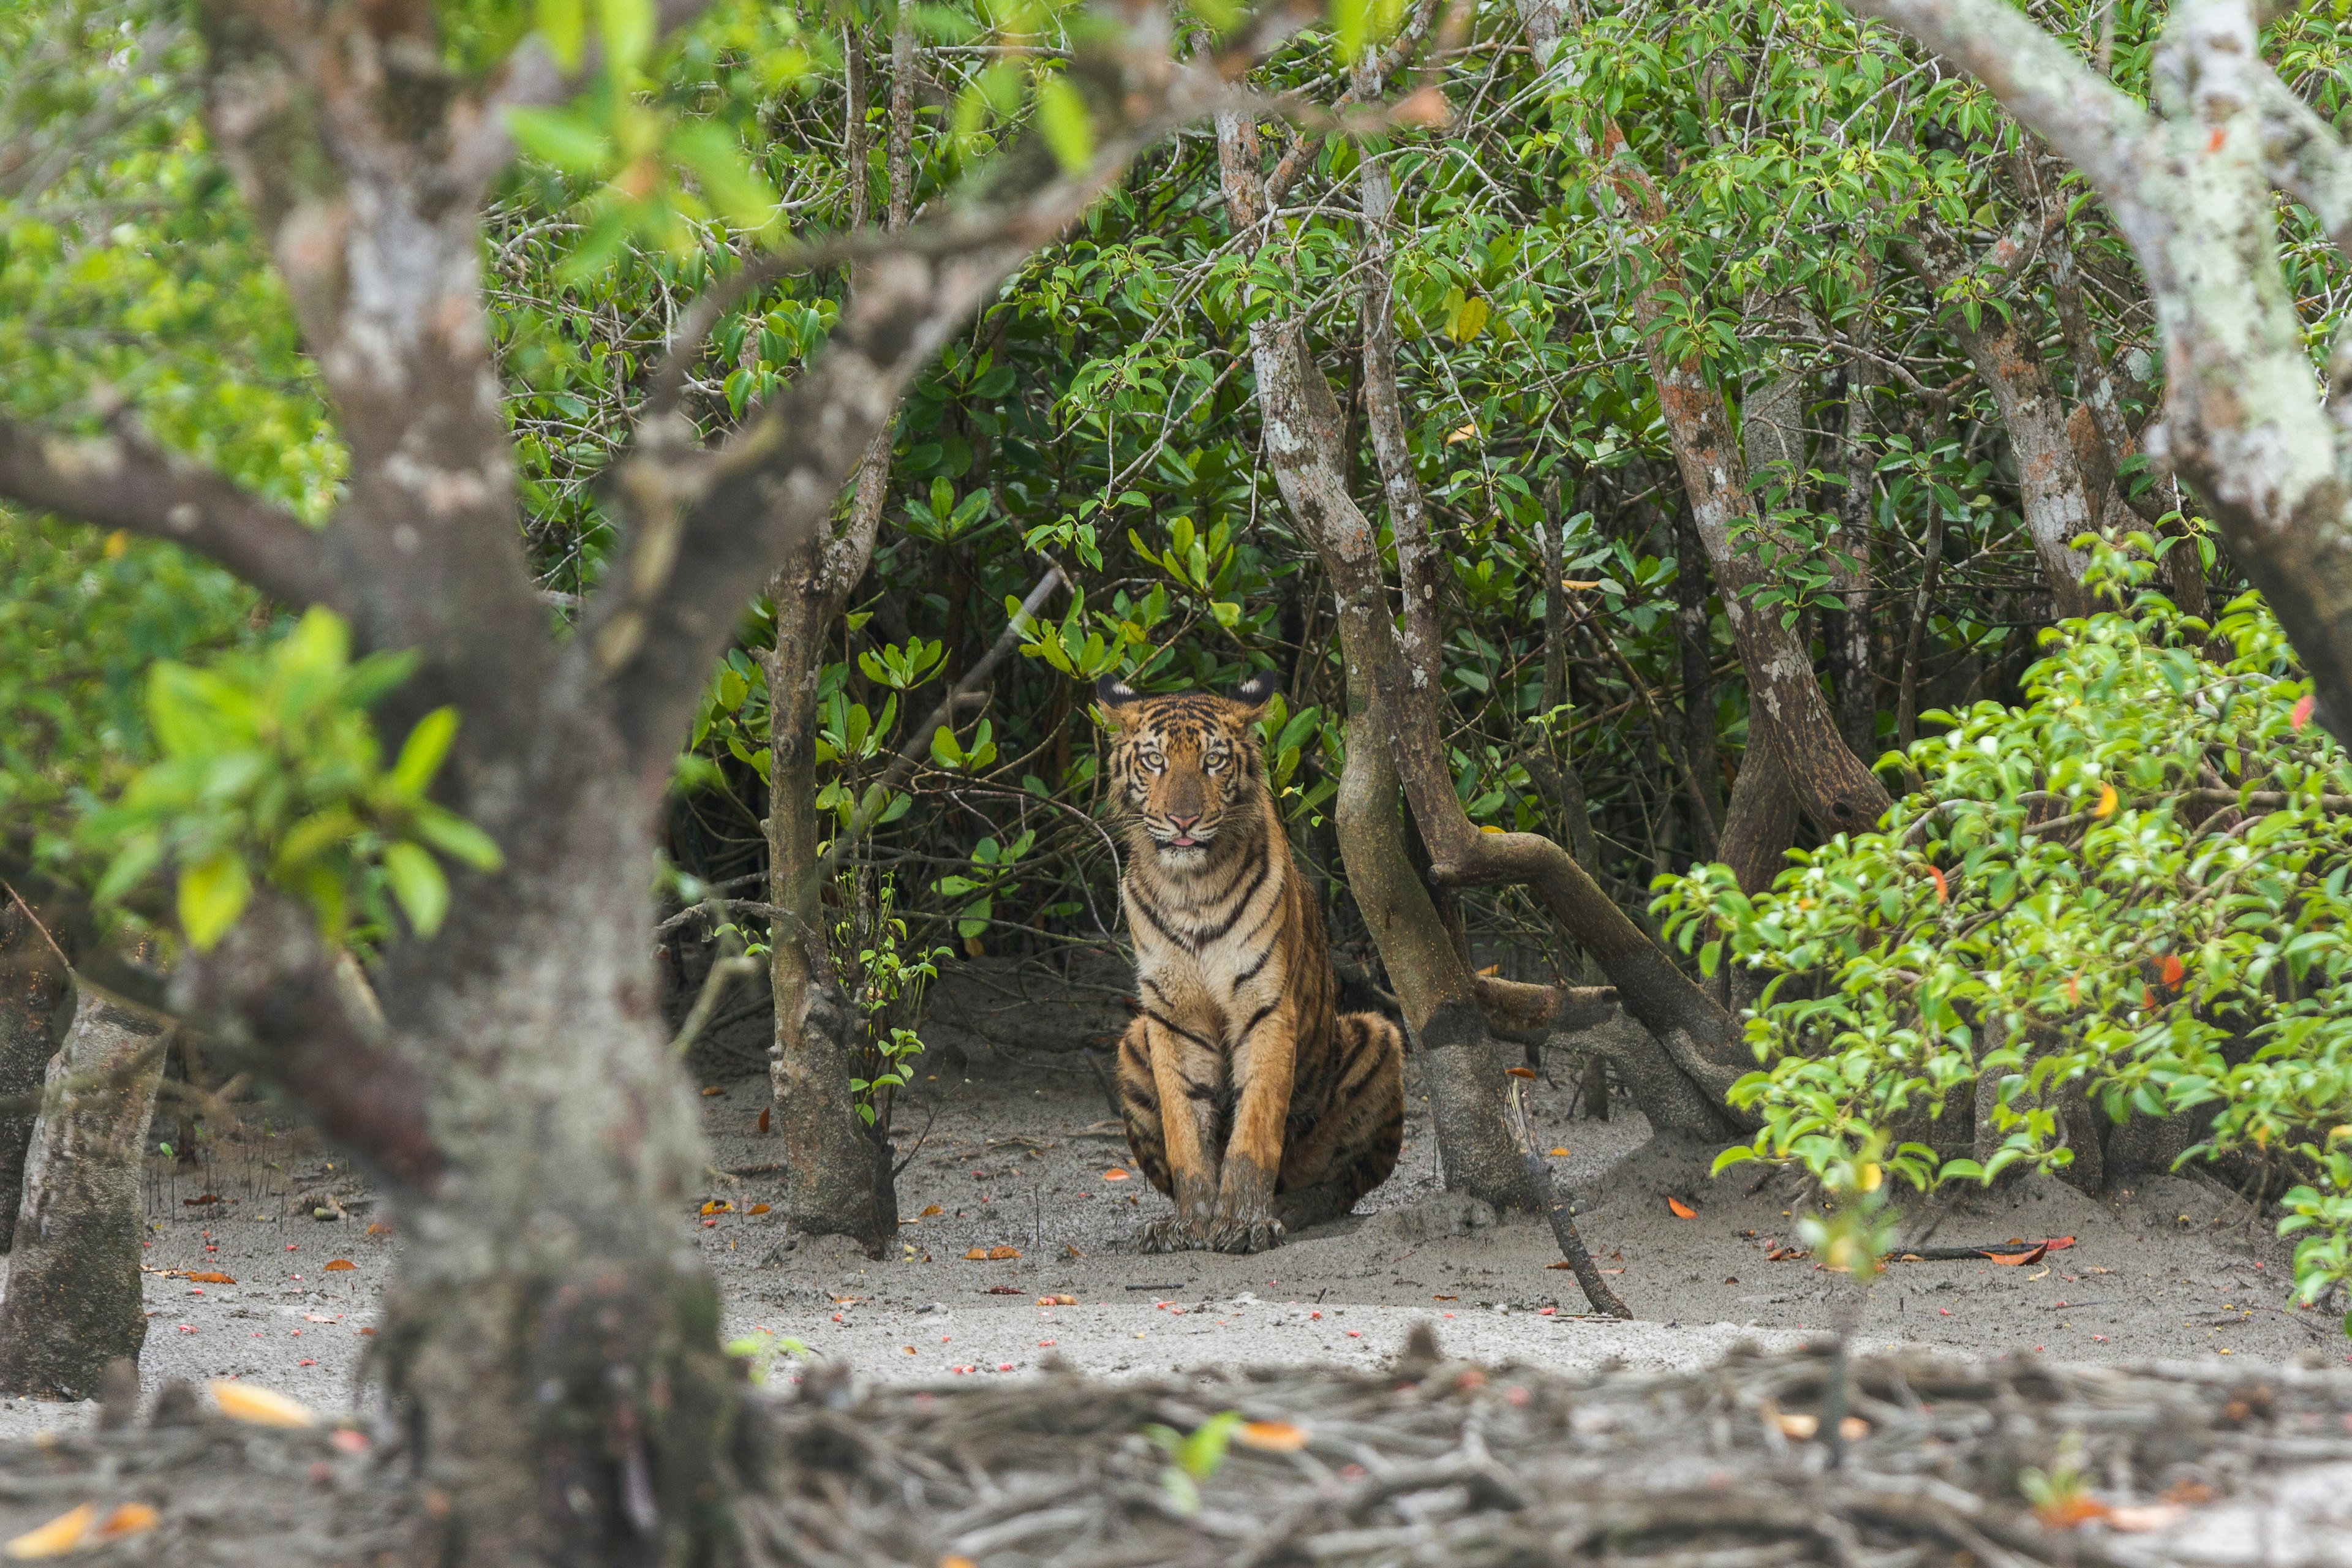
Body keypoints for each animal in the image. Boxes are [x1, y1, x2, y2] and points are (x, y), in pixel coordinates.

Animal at [1096, 672, 1404, 1254]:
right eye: (1155, 761)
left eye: (1214, 761)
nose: (1184, 819)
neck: (1190, 888)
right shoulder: (1171, 1017)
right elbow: (1186, 1131)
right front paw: (1190, 1223)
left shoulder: (1266, 1008)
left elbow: (1255, 1127)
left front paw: (1244, 1223)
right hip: (1131, 1041)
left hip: (1377, 1035)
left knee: (1346, 1182)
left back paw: (1296, 1206)